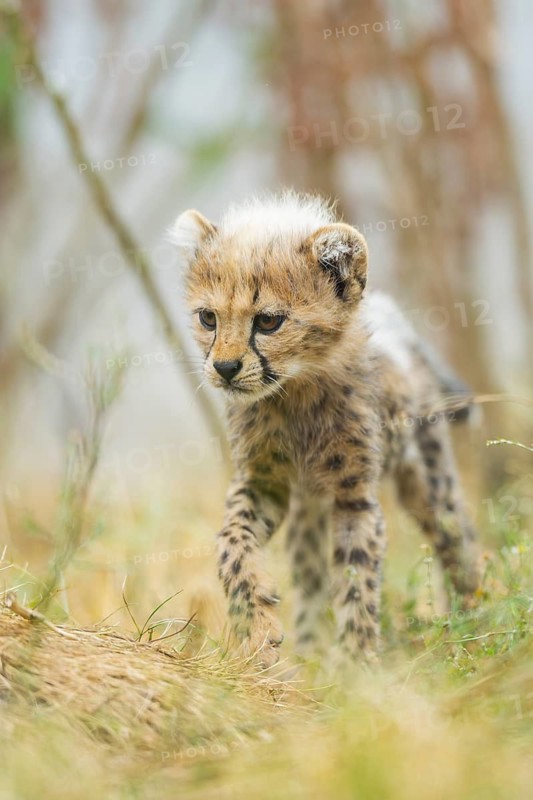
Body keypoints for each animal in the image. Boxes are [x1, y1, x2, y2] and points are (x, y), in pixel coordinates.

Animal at [171, 191, 481, 668]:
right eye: (208, 318)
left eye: (268, 321)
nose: (224, 369)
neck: (294, 391)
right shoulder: (263, 482)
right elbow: (232, 543)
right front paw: (258, 628)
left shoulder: (354, 498)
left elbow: (357, 580)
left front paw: (357, 665)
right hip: (308, 511)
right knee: (311, 575)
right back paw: (310, 652)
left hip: (428, 476)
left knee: (456, 537)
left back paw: (474, 626)